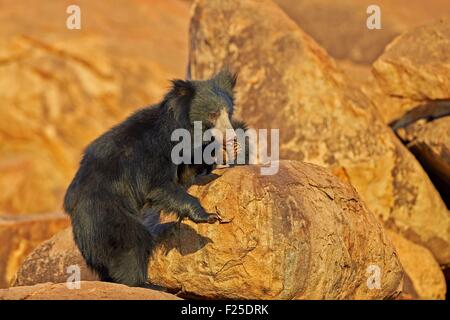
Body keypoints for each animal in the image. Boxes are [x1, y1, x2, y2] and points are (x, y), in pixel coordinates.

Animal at [63, 70, 246, 288]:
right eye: (213, 114)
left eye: (228, 112)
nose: (231, 137)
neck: (183, 127)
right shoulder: (155, 152)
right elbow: (160, 187)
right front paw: (209, 216)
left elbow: (187, 173)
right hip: (107, 212)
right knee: (131, 241)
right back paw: (142, 283)